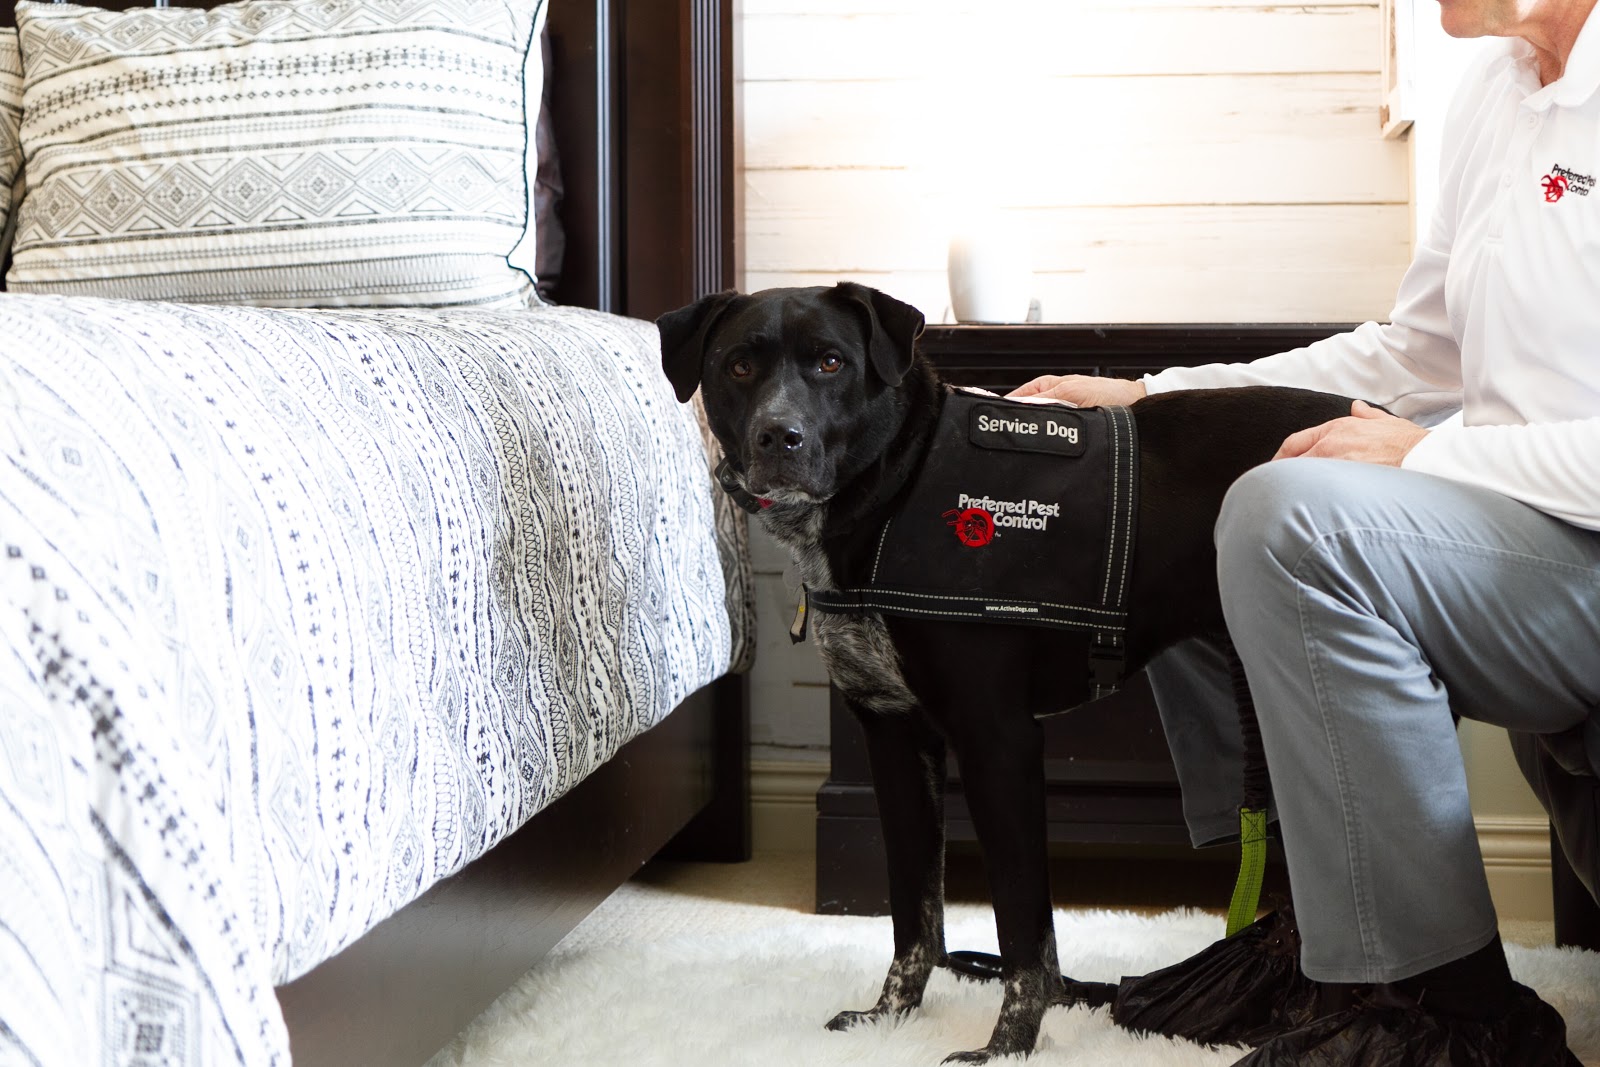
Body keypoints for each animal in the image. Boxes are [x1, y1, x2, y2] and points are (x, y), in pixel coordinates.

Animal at [656, 279, 1356, 1062]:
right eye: (739, 367)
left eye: (831, 361)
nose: (779, 437)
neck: (899, 487)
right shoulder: (895, 739)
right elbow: (914, 911)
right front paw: (890, 1017)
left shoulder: (999, 740)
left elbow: (1024, 926)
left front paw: (1007, 1044)